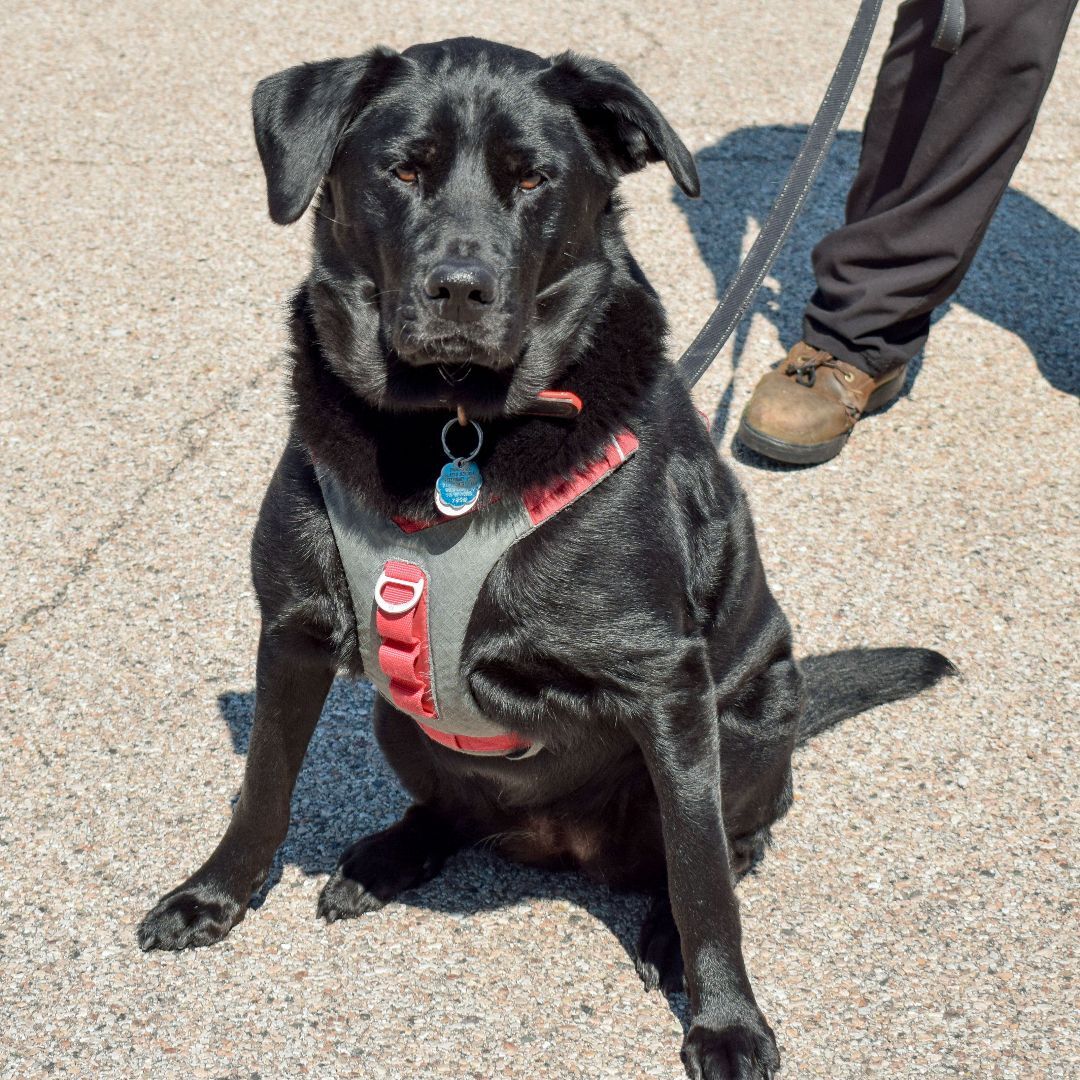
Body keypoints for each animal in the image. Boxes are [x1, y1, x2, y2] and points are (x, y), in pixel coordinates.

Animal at [137, 38, 954, 1075]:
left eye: (533, 180)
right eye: (404, 170)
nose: (461, 288)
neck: (452, 434)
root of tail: (557, 842)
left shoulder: (666, 686)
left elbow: (703, 881)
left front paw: (727, 1021)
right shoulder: (292, 631)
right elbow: (261, 788)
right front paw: (214, 896)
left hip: (748, 719)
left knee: (723, 842)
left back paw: (664, 926)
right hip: (399, 722)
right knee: (458, 810)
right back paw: (386, 858)